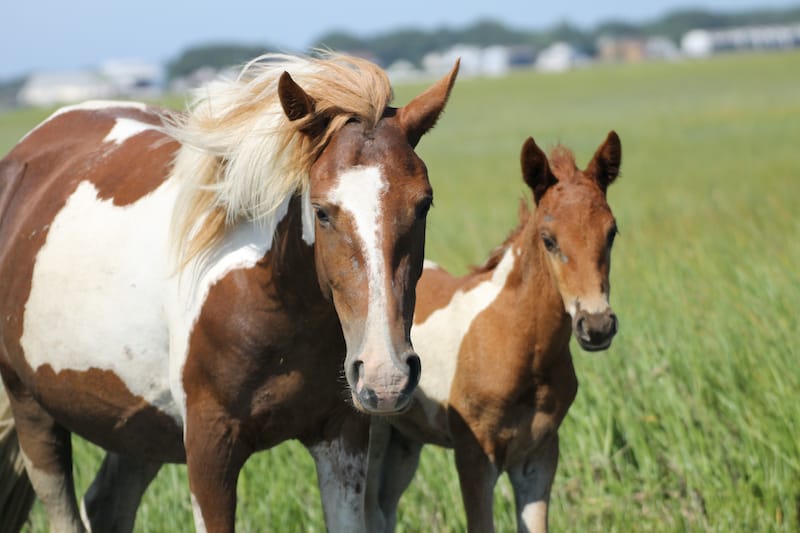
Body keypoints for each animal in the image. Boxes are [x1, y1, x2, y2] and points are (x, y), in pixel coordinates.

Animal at [0, 54, 456, 532]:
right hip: (31, 408)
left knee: (107, 502)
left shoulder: (342, 437)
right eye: (322, 212)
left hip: (139, 425)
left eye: (423, 204)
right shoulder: (209, 448)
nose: (387, 378)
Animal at [366, 132, 620, 532]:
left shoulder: (538, 458)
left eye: (611, 233)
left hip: (404, 441)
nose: (596, 326)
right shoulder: (475, 459)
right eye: (549, 239)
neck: (521, 347)